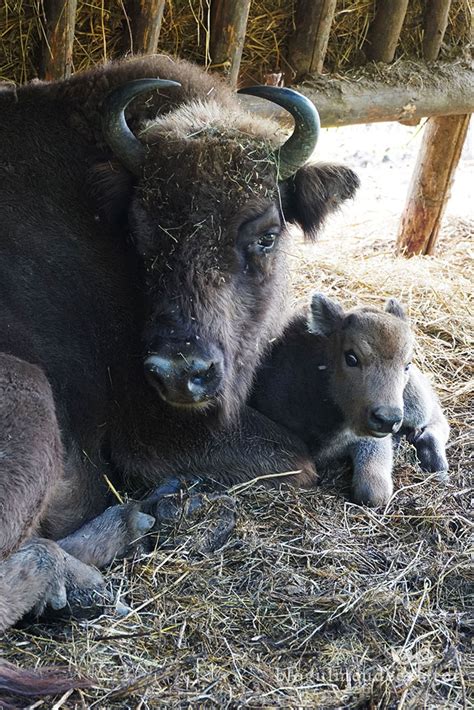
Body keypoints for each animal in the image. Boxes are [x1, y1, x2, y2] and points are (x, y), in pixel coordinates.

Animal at [0, 55, 358, 636]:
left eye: (266, 236)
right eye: (141, 236)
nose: (178, 372)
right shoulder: (153, 434)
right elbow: (300, 462)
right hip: (29, 395)